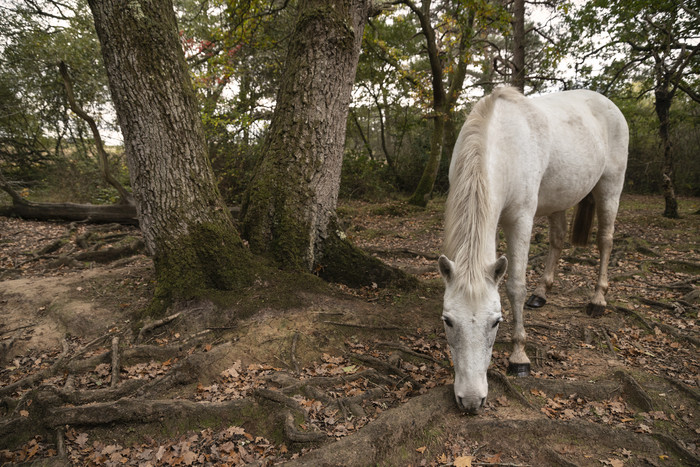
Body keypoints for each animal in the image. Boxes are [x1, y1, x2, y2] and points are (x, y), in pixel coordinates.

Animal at [438, 88, 628, 414]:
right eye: (448, 321)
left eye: (496, 322)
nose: (472, 400)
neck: (501, 144)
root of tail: (606, 102)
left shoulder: (521, 219)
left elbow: (515, 286)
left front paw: (519, 357)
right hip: (559, 199)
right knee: (558, 239)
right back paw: (542, 293)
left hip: (610, 188)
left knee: (605, 240)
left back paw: (598, 299)